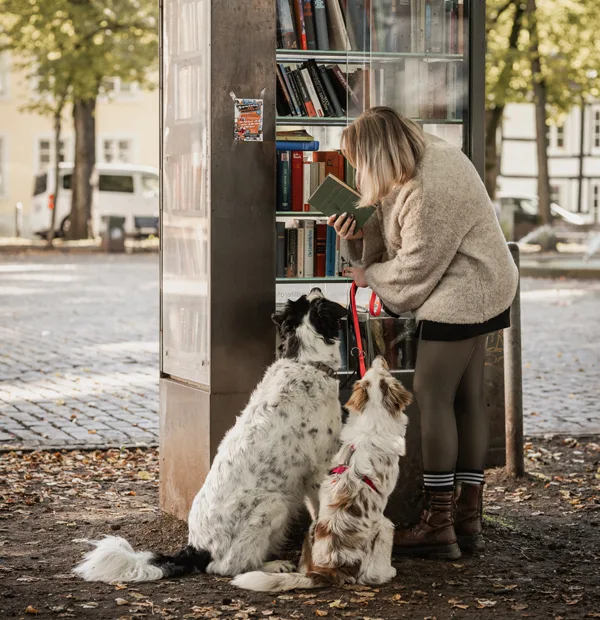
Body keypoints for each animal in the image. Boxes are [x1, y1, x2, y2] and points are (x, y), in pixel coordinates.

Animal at [74, 288, 346, 584]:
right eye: (315, 299)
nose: (315, 288)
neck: (306, 362)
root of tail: (197, 548)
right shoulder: (318, 467)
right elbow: (322, 509)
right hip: (273, 504)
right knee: (227, 566)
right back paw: (271, 566)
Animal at [234, 354, 412, 592]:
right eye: (383, 370)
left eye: (370, 372)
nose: (378, 356)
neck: (372, 420)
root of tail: (329, 568)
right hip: (385, 527)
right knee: (371, 575)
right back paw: (389, 572)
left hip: (311, 530)